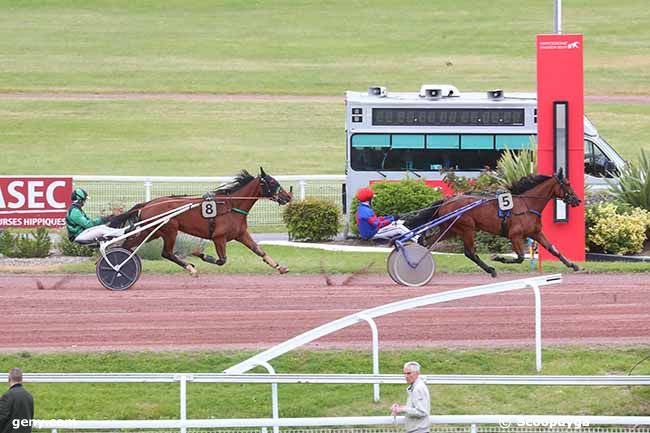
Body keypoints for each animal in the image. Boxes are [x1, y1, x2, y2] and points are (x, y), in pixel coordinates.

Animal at [109, 167, 292, 276]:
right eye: (272, 182)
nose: (288, 196)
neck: (232, 206)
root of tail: (147, 204)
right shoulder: (219, 237)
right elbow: (222, 260)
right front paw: (199, 254)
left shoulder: (241, 234)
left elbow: (259, 251)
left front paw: (280, 267)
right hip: (170, 229)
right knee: (166, 253)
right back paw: (190, 268)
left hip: (152, 231)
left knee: (127, 246)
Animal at [404, 169, 584, 276]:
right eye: (567, 183)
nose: (577, 200)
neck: (527, 204)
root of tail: (447, 201)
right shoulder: (515, 234)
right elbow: (520, 257)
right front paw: (498, 257)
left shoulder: (536, 233)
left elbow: (554, 249)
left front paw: (573, 265)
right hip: (467, 228)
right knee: (469, 252)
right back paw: (491, 269)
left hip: (450, 229)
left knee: (427, 243)